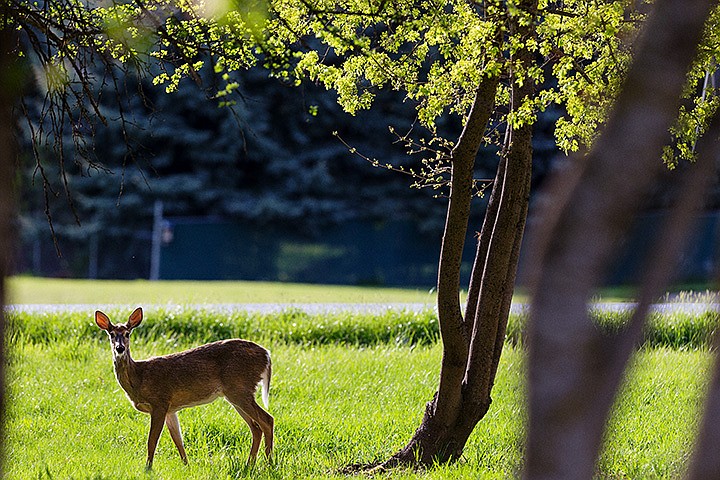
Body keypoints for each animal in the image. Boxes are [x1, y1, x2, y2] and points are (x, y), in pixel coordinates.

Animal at [94, 308, 274, 468]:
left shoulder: (160, 402)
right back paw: (250, 464)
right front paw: (187, 465)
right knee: (256, 427)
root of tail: (267, 354)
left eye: (127, 334)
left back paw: (269, 464)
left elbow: (152, 441)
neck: (139, 377)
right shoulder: (170, 410)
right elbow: (178, 440)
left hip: (239, 389)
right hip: (236, 394)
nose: (120, 348)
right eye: (111, 334)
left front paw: (148, 468)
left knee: (267, 420)